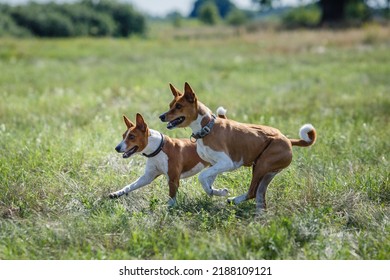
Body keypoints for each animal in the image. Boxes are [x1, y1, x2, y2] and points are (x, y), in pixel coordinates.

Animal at [159, 83, 316, 212]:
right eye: (170, 105)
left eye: (179, 106)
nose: (161, 116)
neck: (207, 128)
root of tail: (288, 140)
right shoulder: (215, 164)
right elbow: (207, 183)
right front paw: (217, 192)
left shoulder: (226, 163)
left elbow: (202, 176)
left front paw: (217, 192)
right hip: (267, 173)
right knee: (259, 195)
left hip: (261, 165)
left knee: (252, 192)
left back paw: (234, 200)